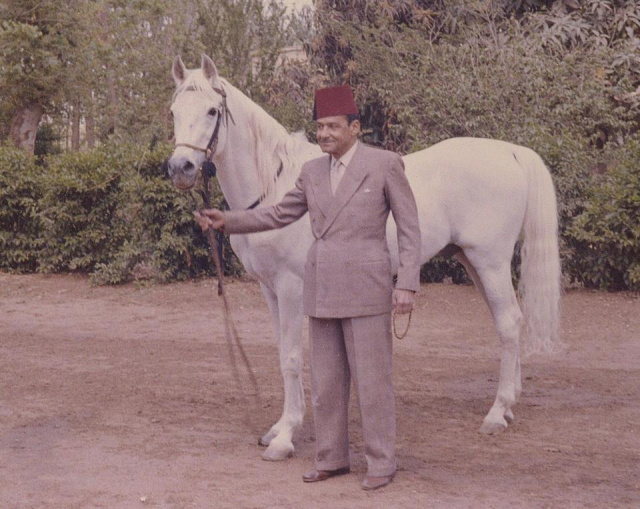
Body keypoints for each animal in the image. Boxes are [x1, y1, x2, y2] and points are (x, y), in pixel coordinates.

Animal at [165, 54, 560, 460]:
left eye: (212, 110)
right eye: (173, 111)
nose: (180, 168)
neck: (274, 185)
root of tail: (509, 151)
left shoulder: (291, 287)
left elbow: (291, 358)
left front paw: (285, 437)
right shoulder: (270, 291)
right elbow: (281, 353)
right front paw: (278, 427)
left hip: (490, 262)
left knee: (509, 322)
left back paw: (497, 413)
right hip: (472, 262)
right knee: (510, 321)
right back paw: (509, 405)